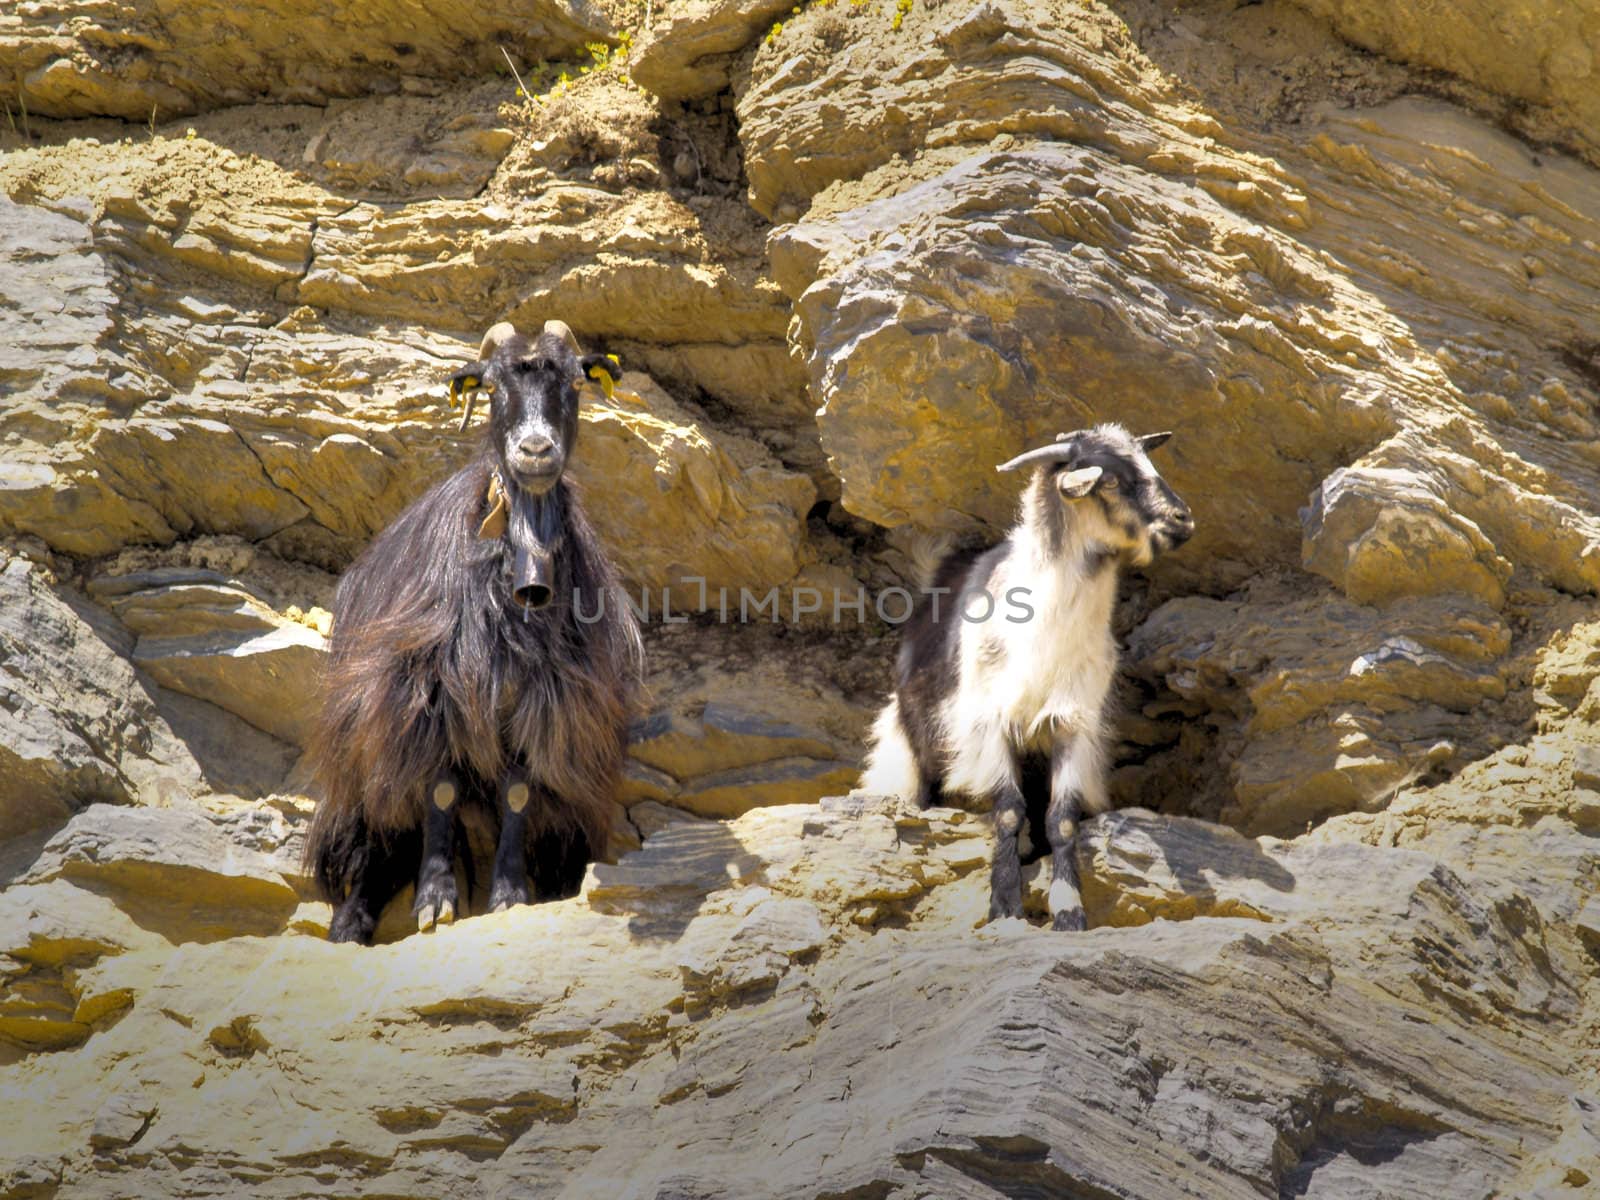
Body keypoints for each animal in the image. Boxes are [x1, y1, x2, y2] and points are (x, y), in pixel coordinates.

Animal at [864, 428, 1190, 934]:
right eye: (1110, 481)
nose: (1182, 521)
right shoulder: (988, 725)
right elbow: (1007, 812)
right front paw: (1004, 905)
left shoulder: (1074, 726)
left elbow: (1062, 820)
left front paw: (1069, 909)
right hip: (911, 741)